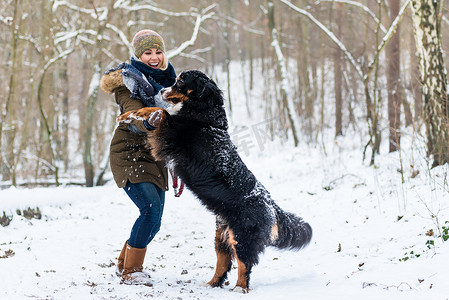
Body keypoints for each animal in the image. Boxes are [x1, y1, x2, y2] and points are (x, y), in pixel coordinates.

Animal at [115, 69, 312, 290]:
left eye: (180, 82)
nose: (163, 90)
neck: (203, 112)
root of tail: (271, 204)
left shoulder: (171, 133)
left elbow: (159, 111)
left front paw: (133, 114)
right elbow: (155, 109)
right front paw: (127, 115)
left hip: (242, 237)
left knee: (245, 266)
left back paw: (239, 289)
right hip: (222, 237)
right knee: (223, 264)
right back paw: (211, 284)